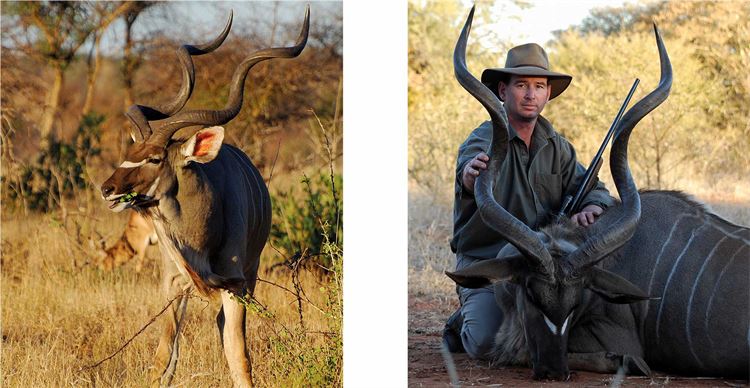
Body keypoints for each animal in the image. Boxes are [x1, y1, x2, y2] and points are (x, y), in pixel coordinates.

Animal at [100, 7, 312, 386]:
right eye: (131, 150)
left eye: (155, 158)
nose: (107, 188)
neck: (202, 236)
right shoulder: (173, 283)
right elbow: (163, 357)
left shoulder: (237, 283)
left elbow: (239, 355)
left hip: (251, 273)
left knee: (225, 331)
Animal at [450, 6, 748, 380]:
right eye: (532, 295)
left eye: (576, 301)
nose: (554, 371)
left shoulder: (615, 337)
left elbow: (612, 357)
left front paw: (626, 363)